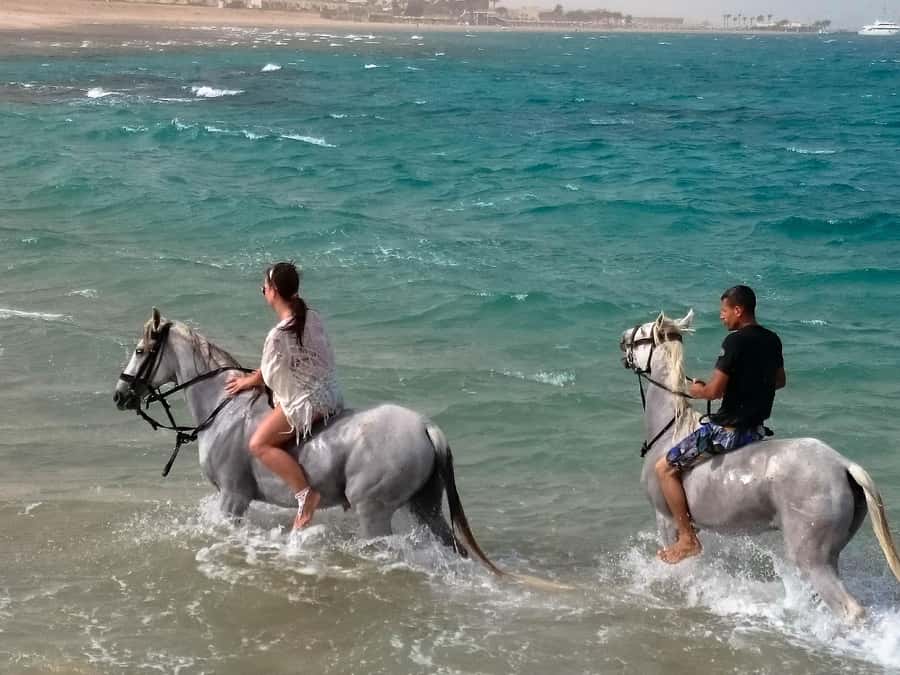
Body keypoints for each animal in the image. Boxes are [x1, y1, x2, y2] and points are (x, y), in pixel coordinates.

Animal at [113, 308, 504, 576]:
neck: (225, 407)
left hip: (373, 511)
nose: (120, 396)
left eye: (140, 350)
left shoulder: (233, 497)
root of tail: (426, 427)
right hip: (425, 508)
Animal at [619, 309, 900, 621]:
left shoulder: (666, 519)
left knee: (851, 609)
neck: (671, 430)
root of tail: (843, 464)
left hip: (811, 556)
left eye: (642, 335)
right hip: (831, 553)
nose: (621, 339)